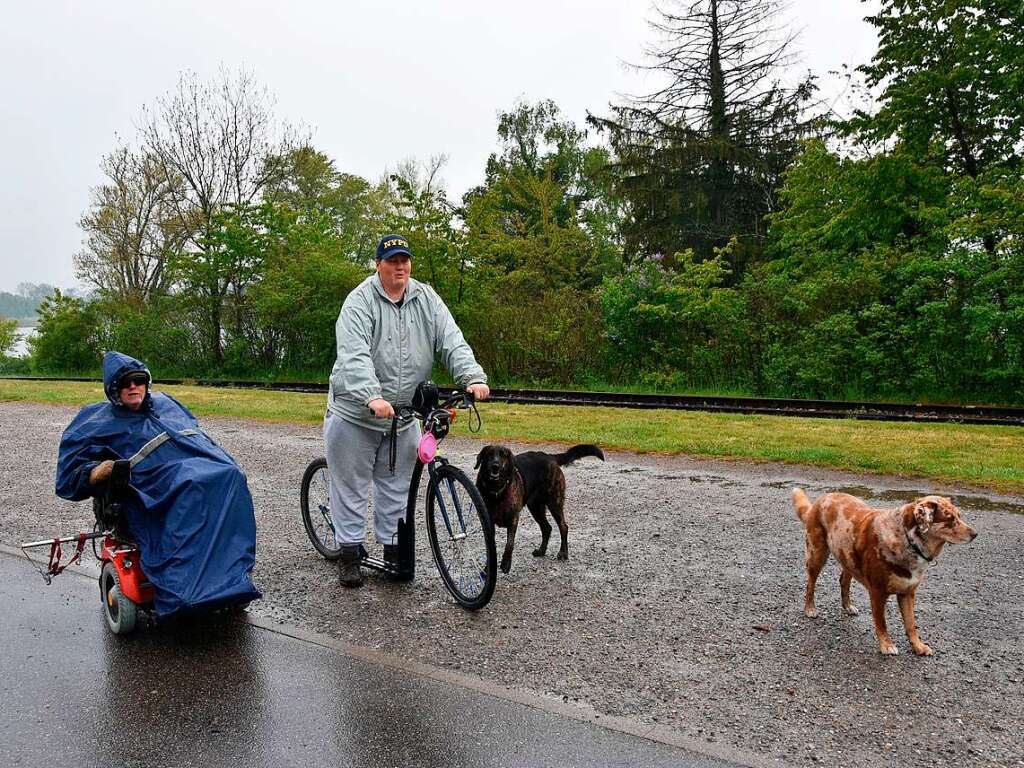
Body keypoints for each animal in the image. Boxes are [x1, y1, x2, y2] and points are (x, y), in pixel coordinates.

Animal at [475, 442, 602, 573]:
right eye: (489, 454)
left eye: (503, 455)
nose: (495, 466)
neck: (496, 491)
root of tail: (549, 456)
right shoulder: (488, 522)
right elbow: (491, 547)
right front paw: (488, 568)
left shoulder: (514, 519)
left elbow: (509, 543)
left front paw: (506, 563)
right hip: (535, 507)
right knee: (547, 528)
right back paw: (541, 551)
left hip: (554, 503)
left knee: (563, 527)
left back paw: (563, 552)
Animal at [790, 489, 974, 659]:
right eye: (949, 519)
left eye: (959, 515)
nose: (975, 534)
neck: (907, 539)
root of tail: (822, 498)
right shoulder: (878, 592)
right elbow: (881, 622)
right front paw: (886, 645)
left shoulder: (908, 592)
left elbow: (911, 624)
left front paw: (918, 646)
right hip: (817, 554)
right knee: (810, 583)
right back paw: (810, 608)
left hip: (847, 555)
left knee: (843, 580)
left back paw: (848, 606)